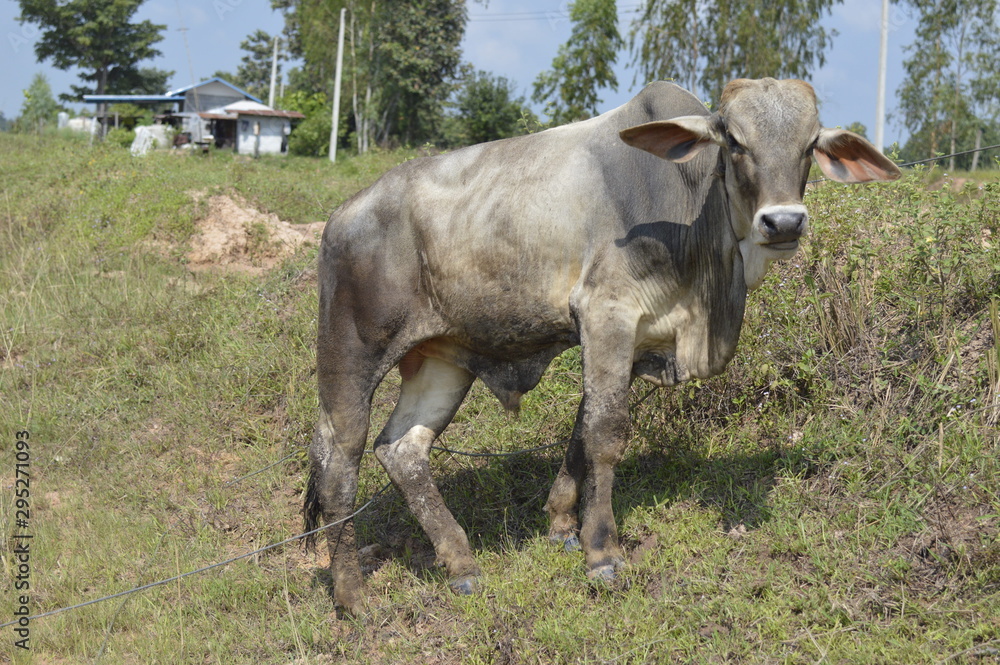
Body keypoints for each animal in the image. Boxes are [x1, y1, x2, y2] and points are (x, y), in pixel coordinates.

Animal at [303, 78, 900, 615]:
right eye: (733, 139)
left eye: (810, 143)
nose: (783, 221)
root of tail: (342, 216)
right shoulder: (606, 314)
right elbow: (607, 436)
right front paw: (603, 555)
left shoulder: (631, 343)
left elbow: (582, 431)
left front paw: (564, 526)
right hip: (350, 354)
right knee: (340, 464)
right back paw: (353, 598)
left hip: (442, 360)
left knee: (402, 449)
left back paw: (462, 565)